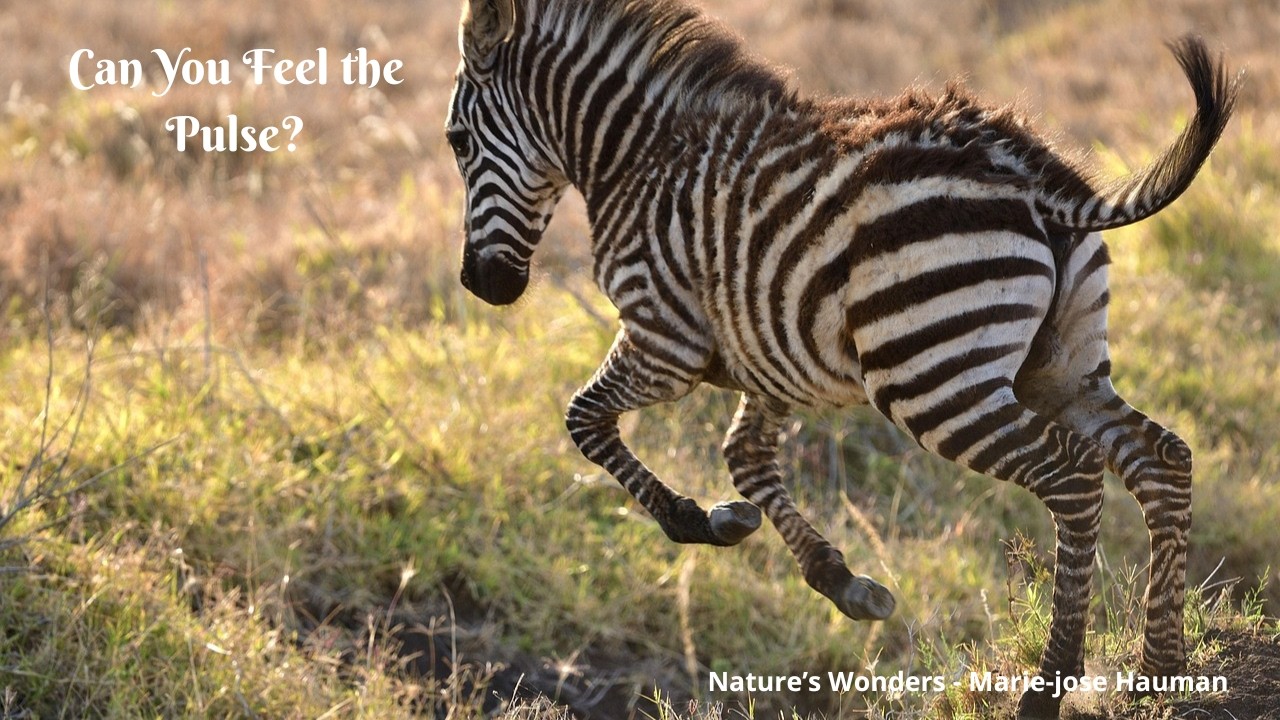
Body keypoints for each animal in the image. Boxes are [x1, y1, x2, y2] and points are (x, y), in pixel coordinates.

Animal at [444, 0, 1239, 716]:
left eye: (456, 141)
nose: (481, 286)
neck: (637, 155)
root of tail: (1037, 180)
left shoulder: (664, 337)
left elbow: (584, 420)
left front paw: (689, 519)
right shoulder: (767, 349)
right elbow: (746, 458)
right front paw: (830, 576)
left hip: (932, 377)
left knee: (1073, 477)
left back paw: (1047, 687)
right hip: (1062, 367)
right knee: (1162, 461)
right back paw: (1161, 668)